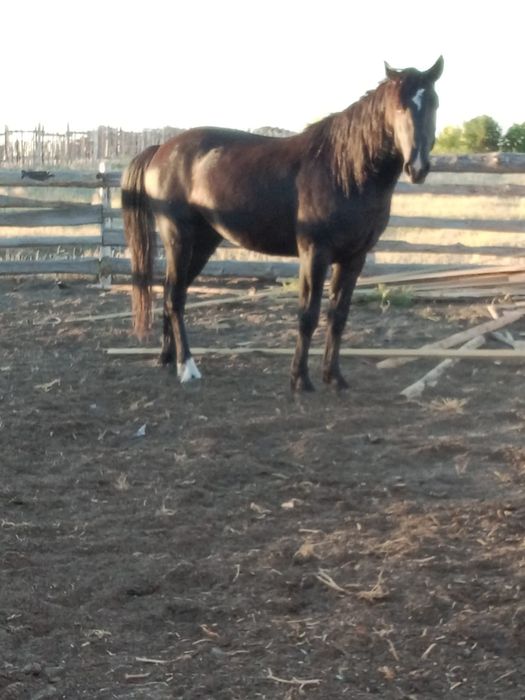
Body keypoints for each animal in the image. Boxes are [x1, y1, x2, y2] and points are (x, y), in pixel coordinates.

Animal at [122, 56, 443, 391]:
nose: (418, 167)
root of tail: (161, 149)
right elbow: (308, 315)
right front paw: (300, 379)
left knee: (173, 293)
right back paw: (187, 366)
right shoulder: (314, 253)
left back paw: (167, 358)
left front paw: (334, 377)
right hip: (179, 238)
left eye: (434, 103)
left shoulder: (354, 258)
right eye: (399, 107)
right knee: (175, 297)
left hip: (204, 242)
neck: (344, 172)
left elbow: (338, 316)